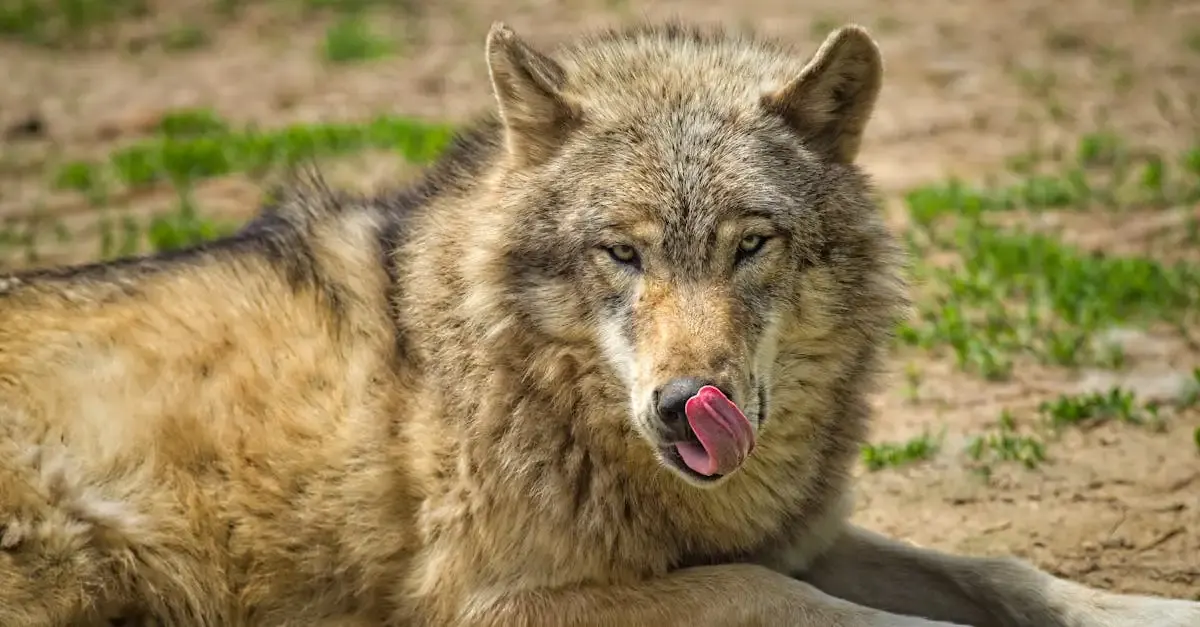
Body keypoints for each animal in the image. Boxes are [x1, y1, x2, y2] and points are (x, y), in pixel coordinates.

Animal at [1, 19, 1197, 627]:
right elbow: (784, 601)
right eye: (622, 253)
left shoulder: (796, 531)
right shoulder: (505, 604)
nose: (684, 406)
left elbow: (1005, 573)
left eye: (750, 244)